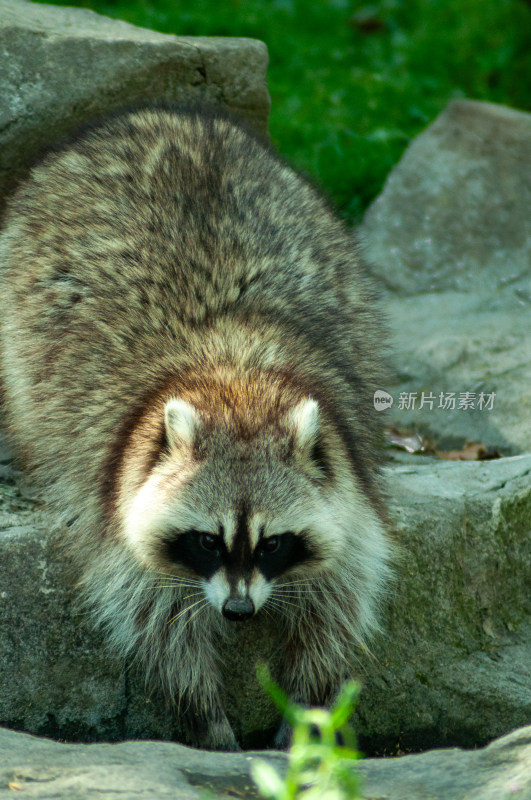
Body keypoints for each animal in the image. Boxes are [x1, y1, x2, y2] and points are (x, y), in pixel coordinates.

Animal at [0, 101, 392, 752]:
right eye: (207, 540)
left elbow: (337, 598)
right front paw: (207, 721)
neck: (237, 386)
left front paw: (305, 711)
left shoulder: (349, 476)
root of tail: (165, 114)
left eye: (274, 543)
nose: (238, 613)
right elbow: (156, 621)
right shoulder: (120, 496)